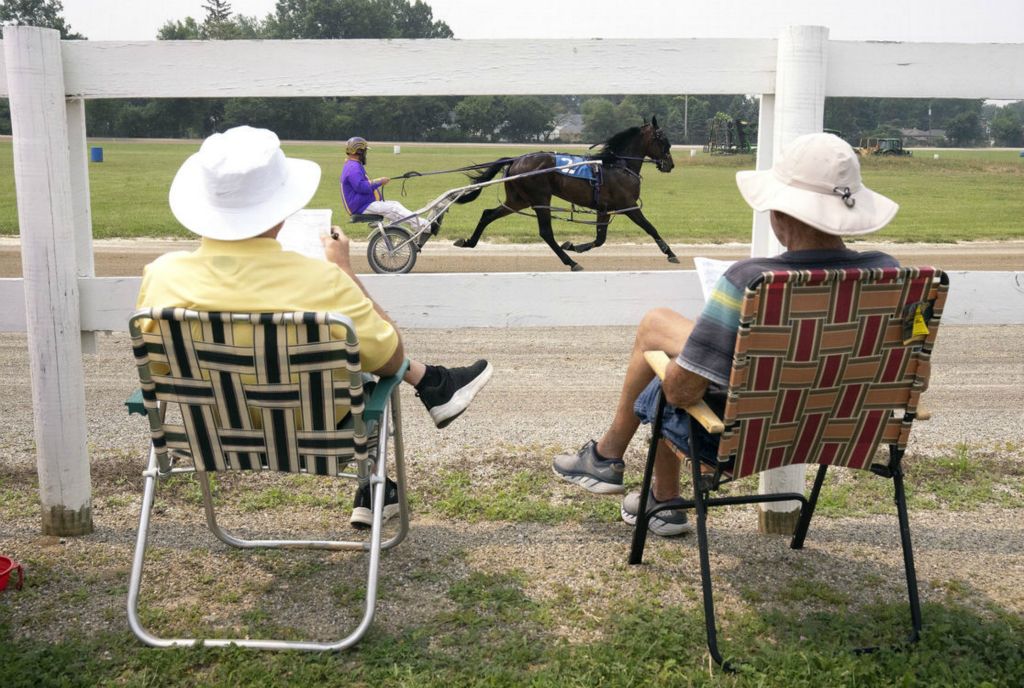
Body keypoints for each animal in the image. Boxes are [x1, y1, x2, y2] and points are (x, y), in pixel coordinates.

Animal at [452, 116, 675, 270]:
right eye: (664, 140)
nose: (670, 165)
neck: (618, 165)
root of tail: (516, 160)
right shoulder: (628, 205)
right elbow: (650, 228)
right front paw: (670, 253)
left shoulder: (603, 209)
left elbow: (600, 239)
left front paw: (573, 245)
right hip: (540, 199)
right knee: (546, 232)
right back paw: (571, 262)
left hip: (518, 200)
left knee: (487, 214)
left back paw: (469, 242)